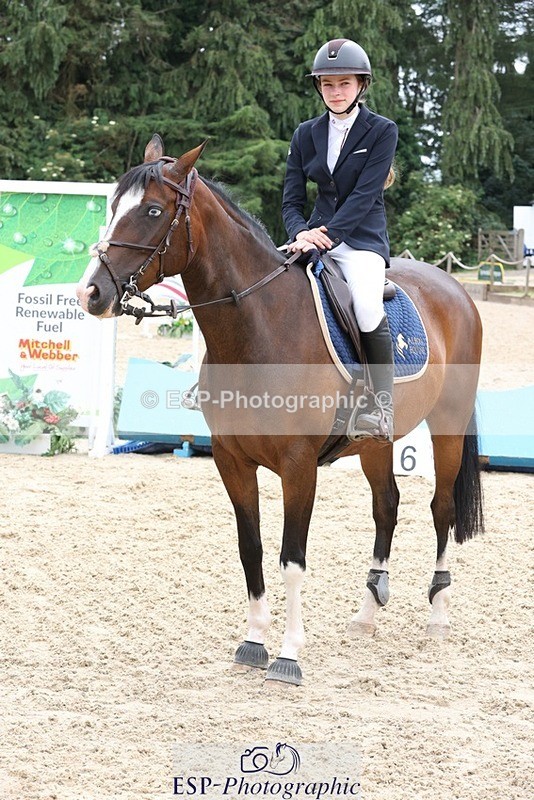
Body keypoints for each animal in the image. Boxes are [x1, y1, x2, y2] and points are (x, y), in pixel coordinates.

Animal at [77, 135, 484, 687]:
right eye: (114, 206)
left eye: (153, 211)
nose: (91, 292)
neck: (258, 327)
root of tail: (454, 287)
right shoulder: (231, 460)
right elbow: (252, 549)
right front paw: (253, 642)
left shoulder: (298, 466)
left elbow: (293, 558)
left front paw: (289, 655)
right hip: (376, 443)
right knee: (387, 506)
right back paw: (367, 613)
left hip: (448, 425)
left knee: (440, 508)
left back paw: (438, 614)